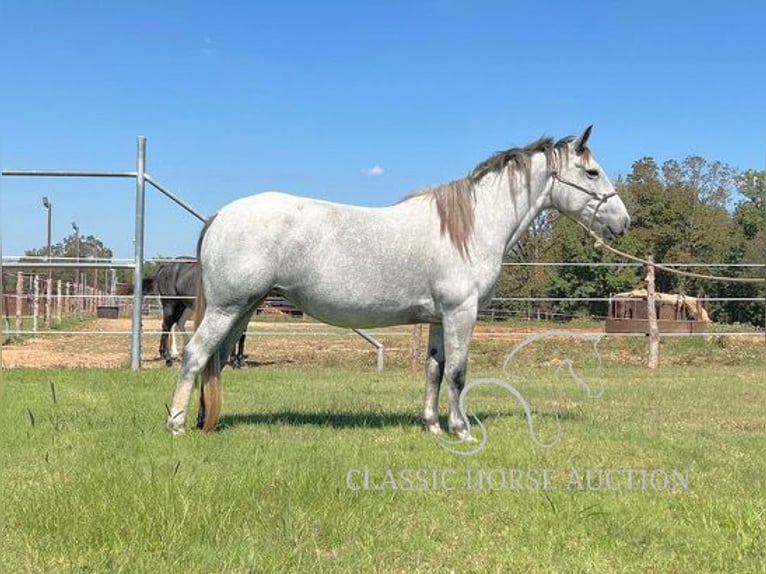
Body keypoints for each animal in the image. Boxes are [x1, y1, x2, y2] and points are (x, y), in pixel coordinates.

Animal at [166, 128, 632, 438]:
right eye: (592, 172)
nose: (623, 222)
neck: (469, 227)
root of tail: (221, 215)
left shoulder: (439, 319)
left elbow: (434, 370)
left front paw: (432, 426)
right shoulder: (461, 313)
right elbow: (458, 373)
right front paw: (461, 429)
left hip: (244, 309)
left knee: (215, 360)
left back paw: (207, 421)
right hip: (227, 308)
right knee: (193, 355)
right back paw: (177, 425)